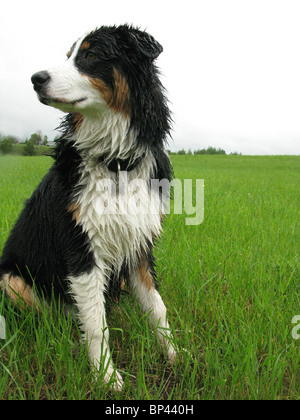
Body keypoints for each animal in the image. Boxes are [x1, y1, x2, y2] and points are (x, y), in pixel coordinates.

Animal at [0, 23, 176, 390]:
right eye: (68, 55)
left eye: (91, 54)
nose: (35, 78)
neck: (116, 163)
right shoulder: (80, 247)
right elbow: (95, 323)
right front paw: (107, 376)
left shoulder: (140, 243)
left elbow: (157, 307)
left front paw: (175, 356)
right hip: (10, 279)